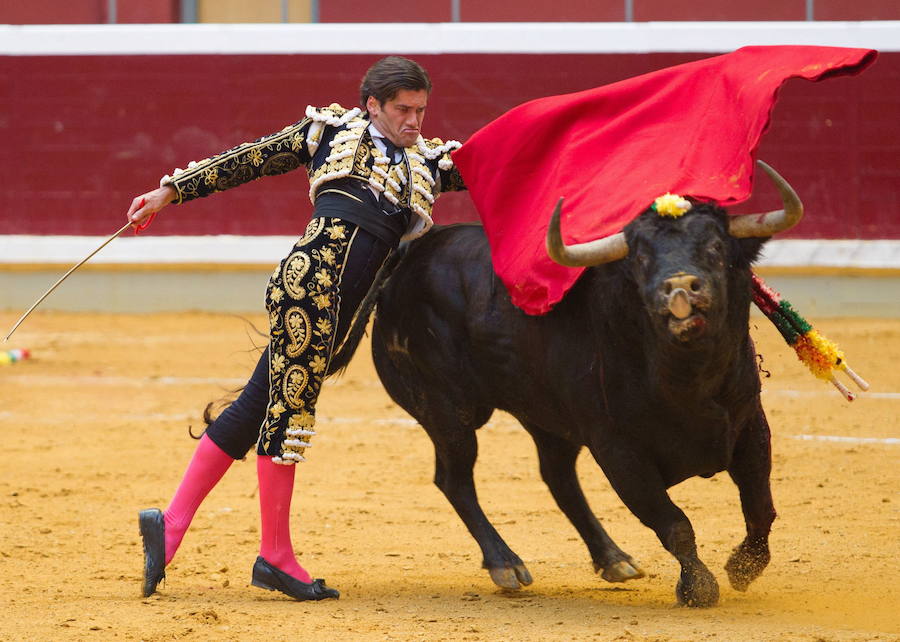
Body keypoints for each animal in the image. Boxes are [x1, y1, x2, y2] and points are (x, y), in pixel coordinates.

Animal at [326, 160, 800, 604]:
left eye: (716, 247)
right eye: (640, 258)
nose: (681, 287)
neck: (686, 380)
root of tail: (407, 256)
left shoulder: (750, 426)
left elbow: (761, 507)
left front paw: (743, 567)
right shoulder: (618, 450)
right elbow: (673, 522)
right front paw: (699, 587)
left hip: (544, 413)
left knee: (556, 476)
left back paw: (613, 559)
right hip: (446, 411)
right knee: (455, 479)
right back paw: (506, 564)